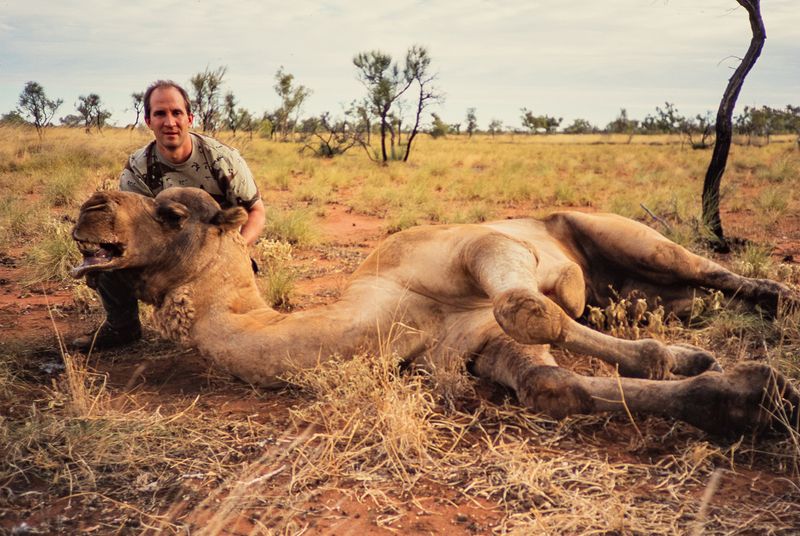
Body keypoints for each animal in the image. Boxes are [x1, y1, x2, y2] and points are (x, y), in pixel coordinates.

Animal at [71, 187, 799, 437]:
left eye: (171, 212)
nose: (90, 207)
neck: (379, 319)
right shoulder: (466, 350)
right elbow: (549, 382)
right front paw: (745, 396)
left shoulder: (475, 246)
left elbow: (525, 305)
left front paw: (691, 362)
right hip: (639, 290)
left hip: (626, 234)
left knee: (712, 269)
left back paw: (778, 299)